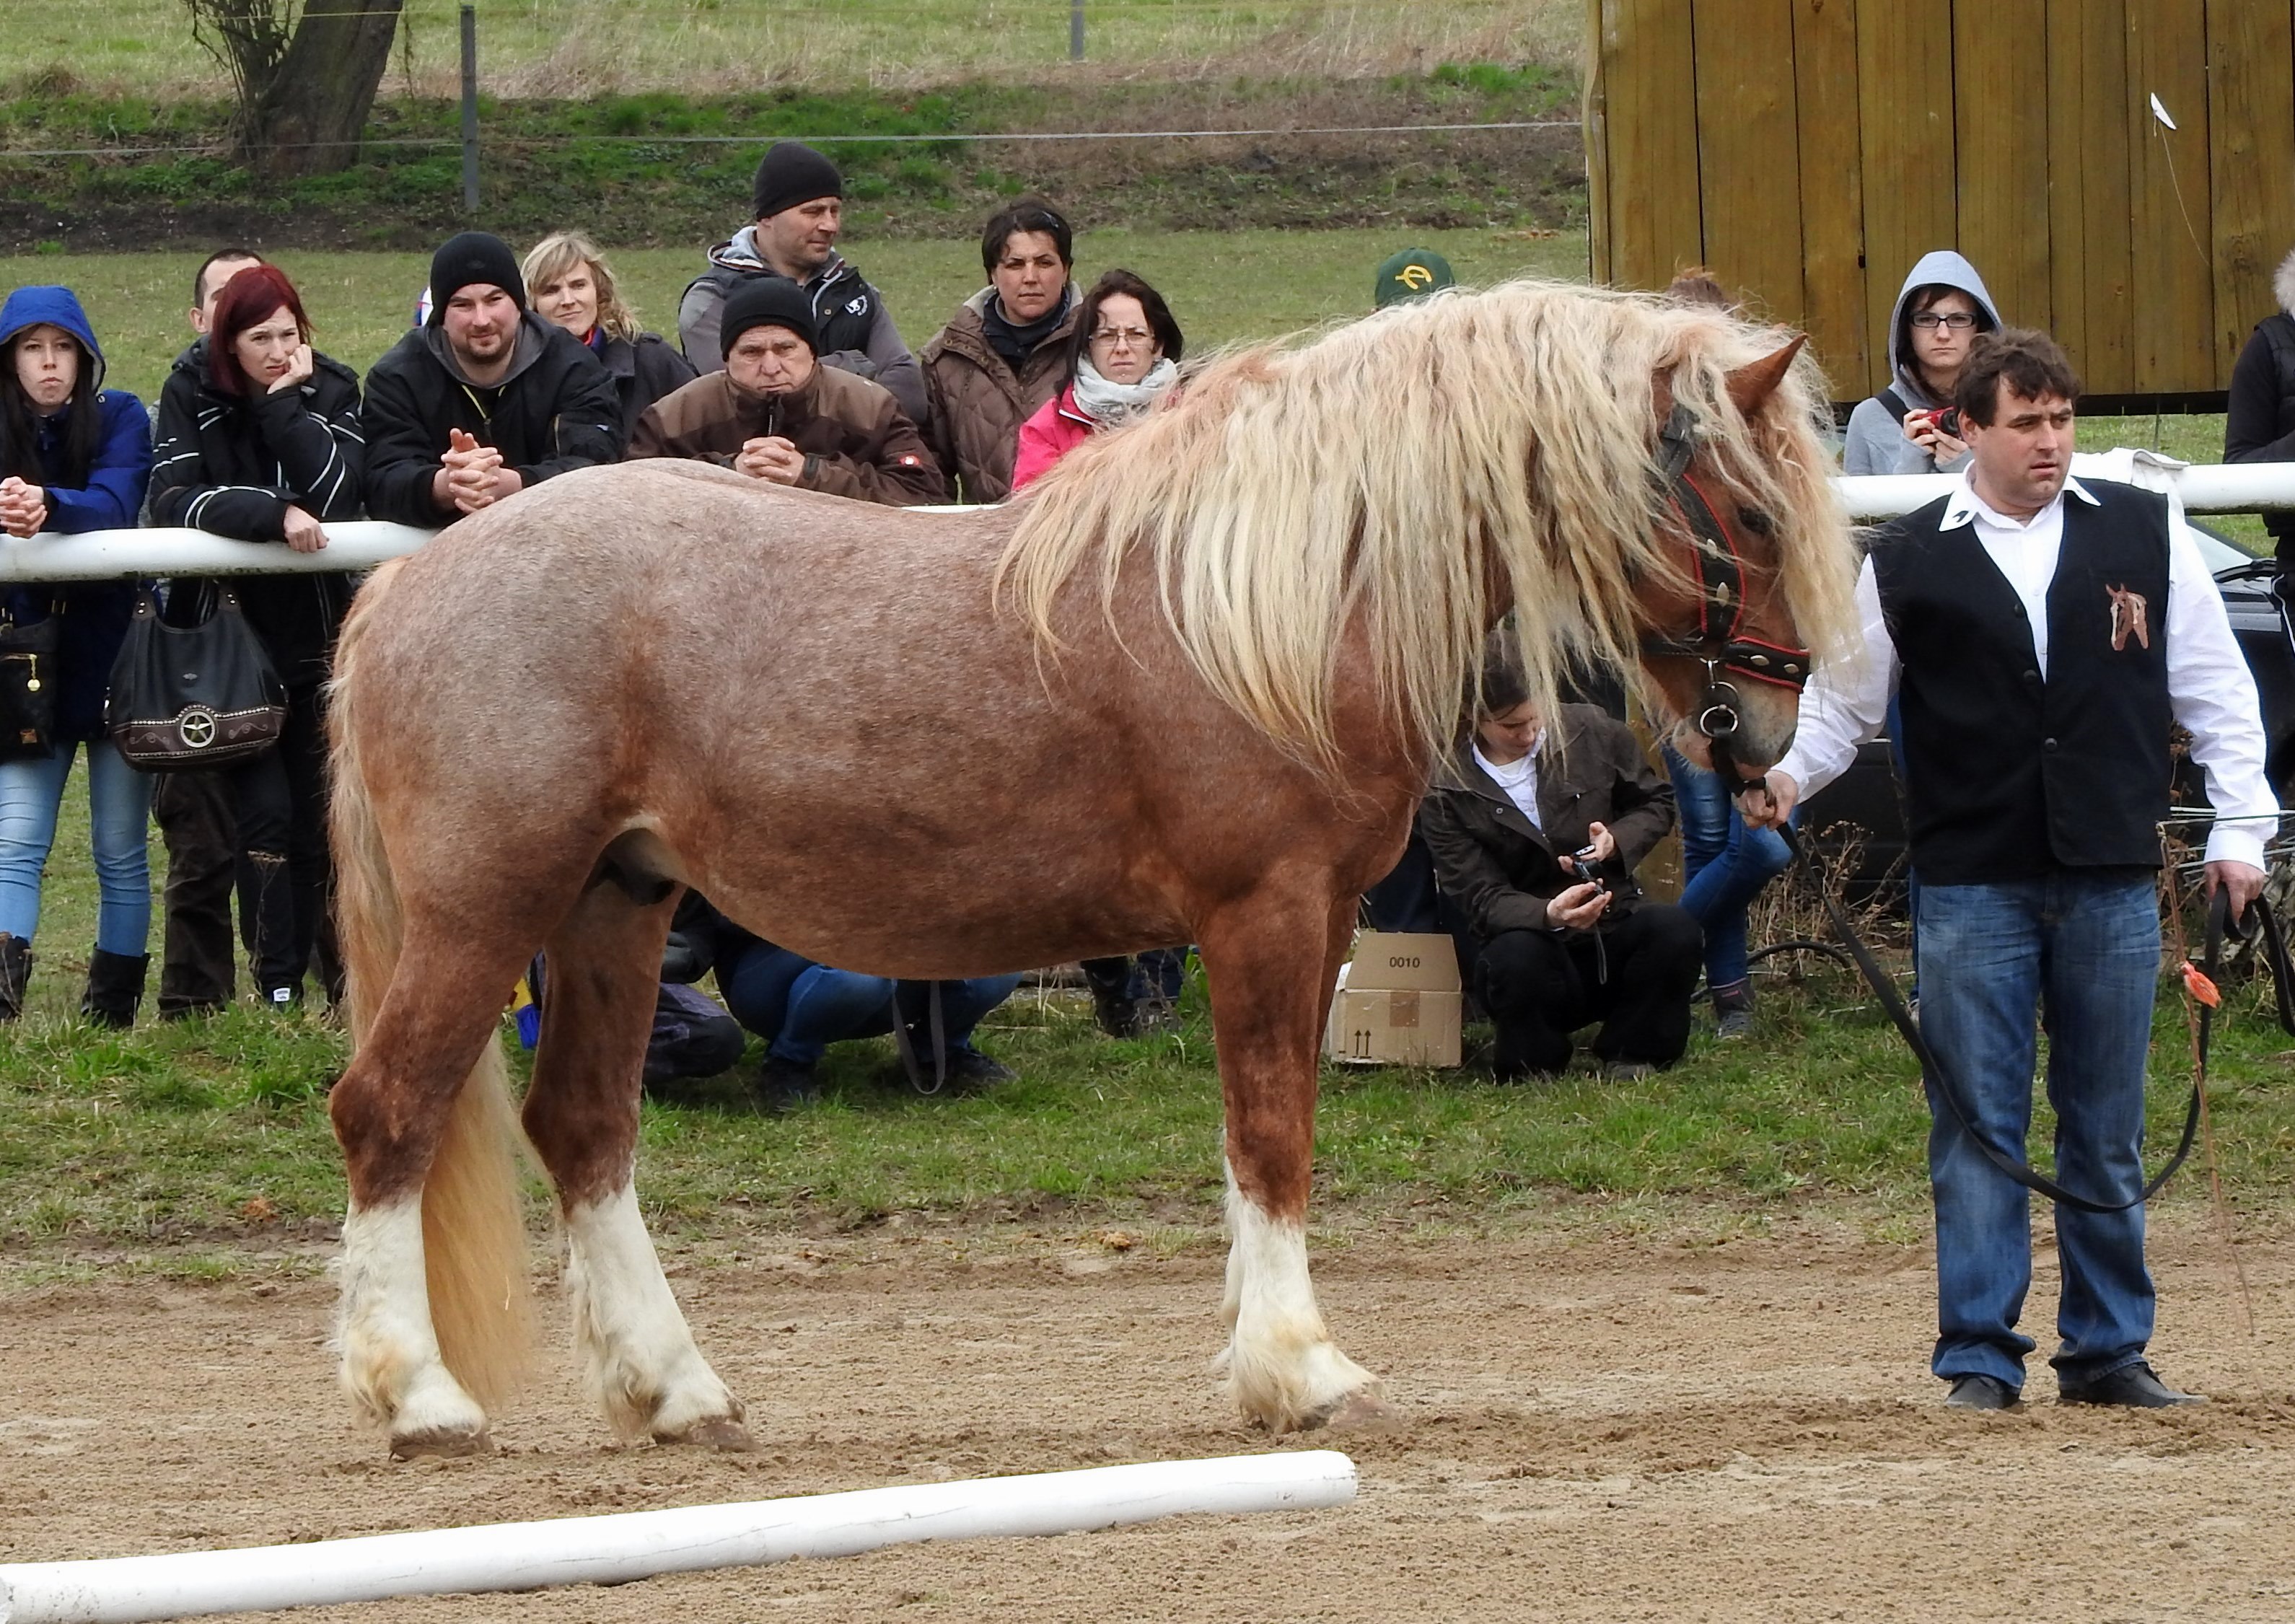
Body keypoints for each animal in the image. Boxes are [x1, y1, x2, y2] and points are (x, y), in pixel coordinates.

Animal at [328, 278, 1863, 1459]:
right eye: (1752, 515)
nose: (1764, 733)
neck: (1281, 595)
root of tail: (412, 578)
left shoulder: (1317, 923)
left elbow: (1266, 1134)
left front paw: (1265, 1363)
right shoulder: (1264, 911)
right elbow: (1272, 1135)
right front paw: (1302, 1370)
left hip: (616, 904)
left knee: (585, 1129)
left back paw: (677, 1392)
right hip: (487, 911)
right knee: (388, 1112)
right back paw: (420, 1399)